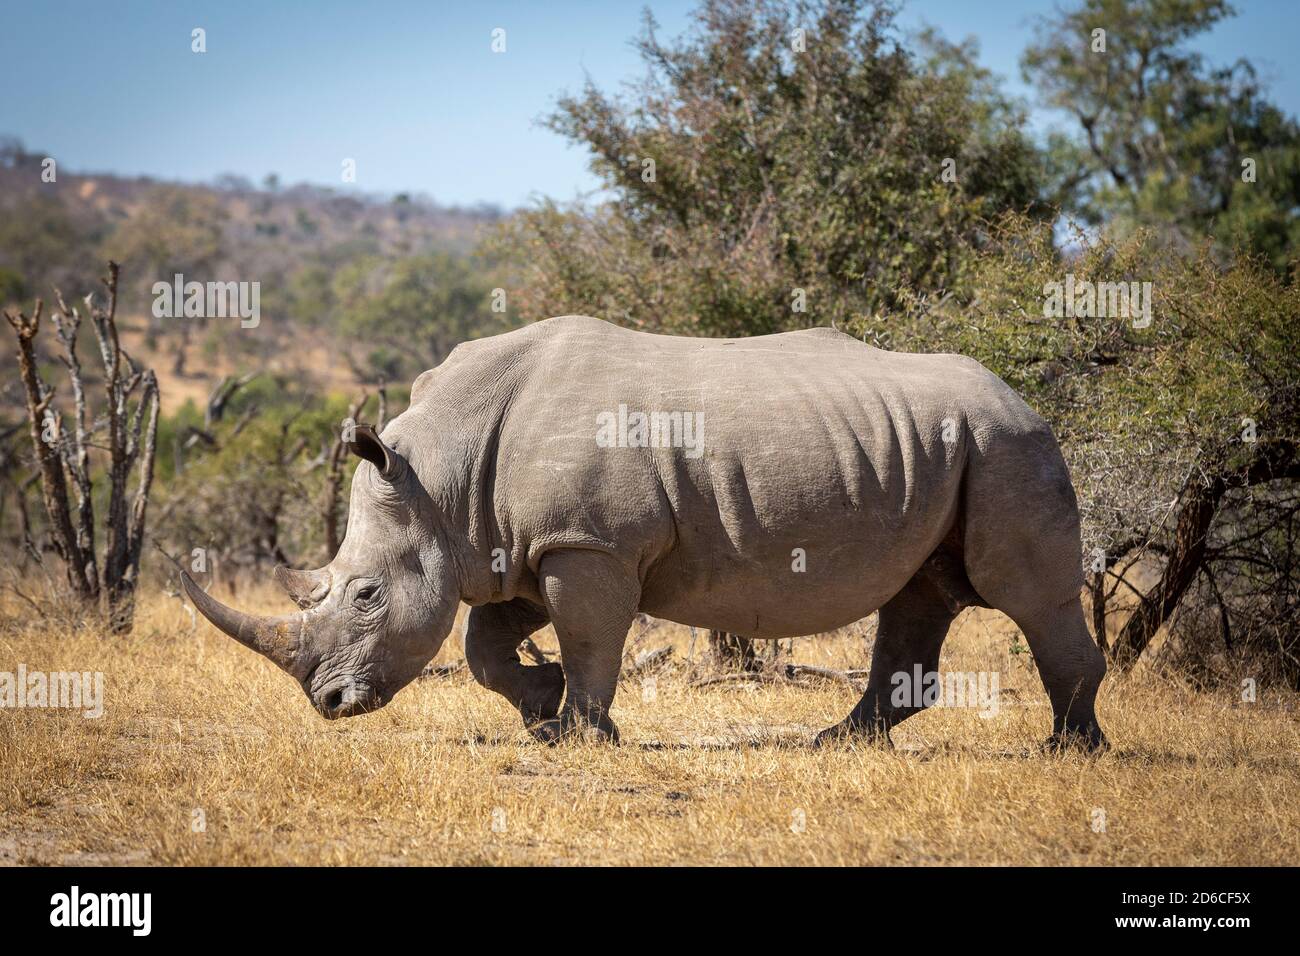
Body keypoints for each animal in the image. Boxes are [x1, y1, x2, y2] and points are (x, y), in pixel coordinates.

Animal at [185, 317, 1107, 749]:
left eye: (368, 595)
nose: (331, 705)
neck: (440, 470)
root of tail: (1027, 398)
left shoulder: (589, 543)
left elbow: (592, 640)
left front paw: (580, 735)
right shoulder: (528, 542)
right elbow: (486, 644)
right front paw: (542, 707)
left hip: (1006, 445)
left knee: (1024, 594)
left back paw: (1069, 752)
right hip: (949, 447)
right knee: (920, 593)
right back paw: (840, 742)